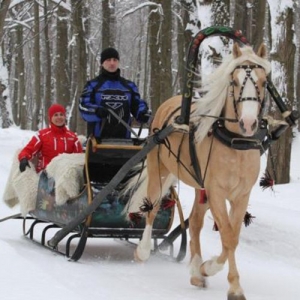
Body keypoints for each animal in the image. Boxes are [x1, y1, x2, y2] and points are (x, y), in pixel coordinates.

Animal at [125, 42, 270, 300]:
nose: (248, 123)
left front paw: (208, 269)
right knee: (152, 207)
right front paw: (229, 282)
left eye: (264, 82)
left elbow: (232, 237)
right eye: (234, 82)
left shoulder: (241, 195)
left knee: (194, 223)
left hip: (199, 186)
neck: (235, 143)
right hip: (159, 169)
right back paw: (143, 250)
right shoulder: (217, 192)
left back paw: (195, 270)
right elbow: (227, 236)